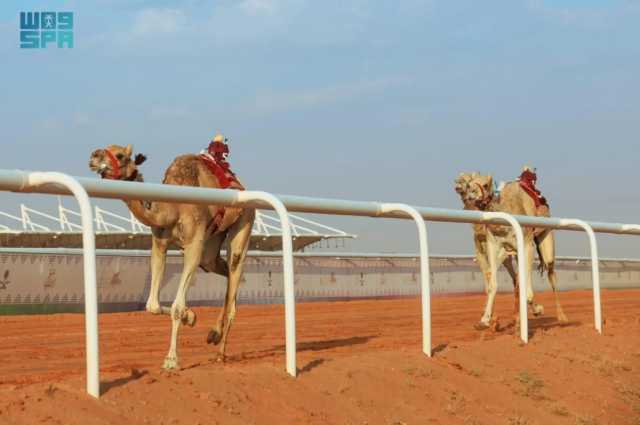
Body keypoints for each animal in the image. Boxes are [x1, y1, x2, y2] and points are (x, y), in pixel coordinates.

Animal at [88, 142, 258, 368]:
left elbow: (177, 306)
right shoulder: (159, 244)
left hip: (245, 220)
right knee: (223, 271)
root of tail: (241, 186)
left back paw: (221, 351)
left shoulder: (194, 245)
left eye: (120, 155)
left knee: (235, 264)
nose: (94, 156)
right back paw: (214, 334)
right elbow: (152, 305)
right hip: (212, 245)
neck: (172, 209)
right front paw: (191, 316)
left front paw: (171, 359)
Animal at [452, 166, 568, 328]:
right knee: (518, 278)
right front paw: (485, 320)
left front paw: (536, 309)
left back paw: (561, 317)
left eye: (485, 185)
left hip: (546, 237)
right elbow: (492, 282)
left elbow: (523, 282)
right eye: (468, 184)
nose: (471, 195)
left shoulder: (526, 243)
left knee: (550, 273)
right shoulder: (493, 246)